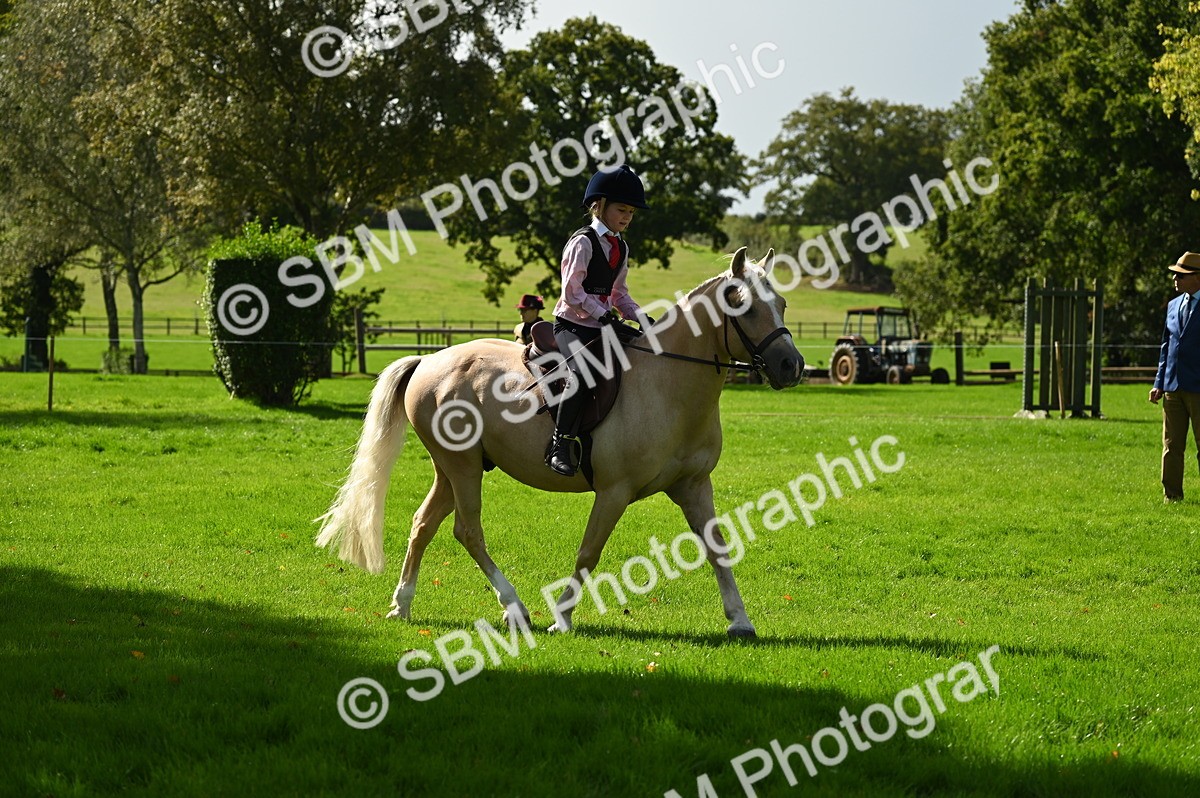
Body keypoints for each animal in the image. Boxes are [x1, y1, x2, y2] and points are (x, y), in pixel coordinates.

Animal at [316, 247, 805, 637]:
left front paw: (740, 621)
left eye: (781, 303)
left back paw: (402, 605)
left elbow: (718, 549)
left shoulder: (694, 486)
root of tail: (429, 360)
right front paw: (563, 619)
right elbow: (589, 551)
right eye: (743, 307)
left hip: (453, 469)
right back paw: (514, 608)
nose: (792, 366)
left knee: (424, 524)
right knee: (467, 530)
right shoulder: (614, 492)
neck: (668, 384)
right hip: (462, 467)